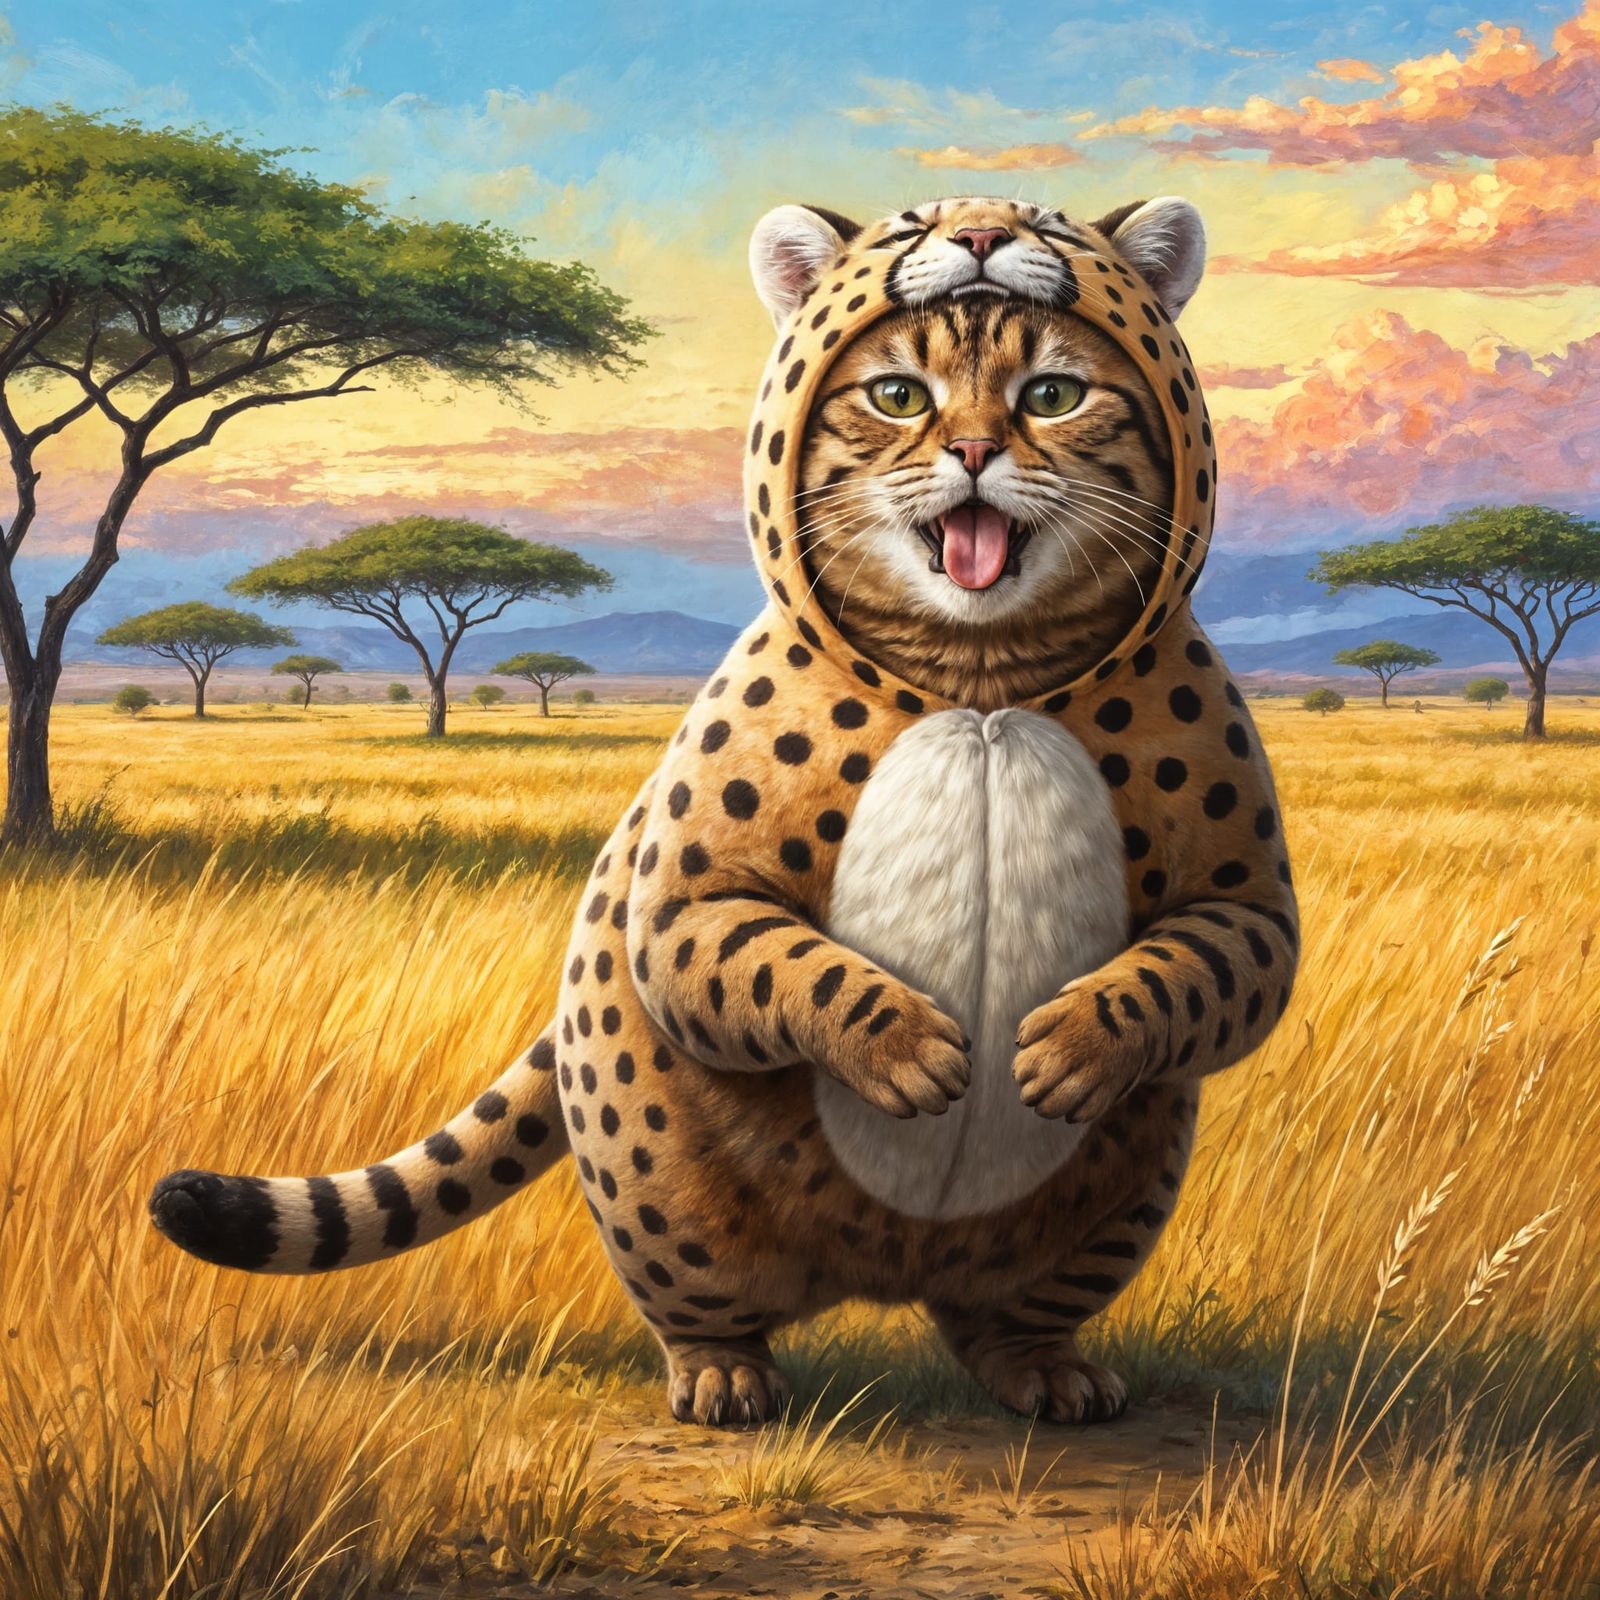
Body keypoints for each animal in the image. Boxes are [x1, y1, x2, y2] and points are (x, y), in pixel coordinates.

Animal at [150, 193, 1299, 1431]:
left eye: (1051, 394)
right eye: (898, 395)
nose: (974, 455)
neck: (979, 676)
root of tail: (882, 1281)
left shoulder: (1244, 904)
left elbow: (1204, 969)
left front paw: (1075, 1043)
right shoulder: (681, 907)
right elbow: (772, 962)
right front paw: (902, 1046)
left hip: (1118, 1188)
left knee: (1005, 1309)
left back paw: (1043, 1366)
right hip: (659, 1176)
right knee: (704, 1290)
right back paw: (721, 1372)